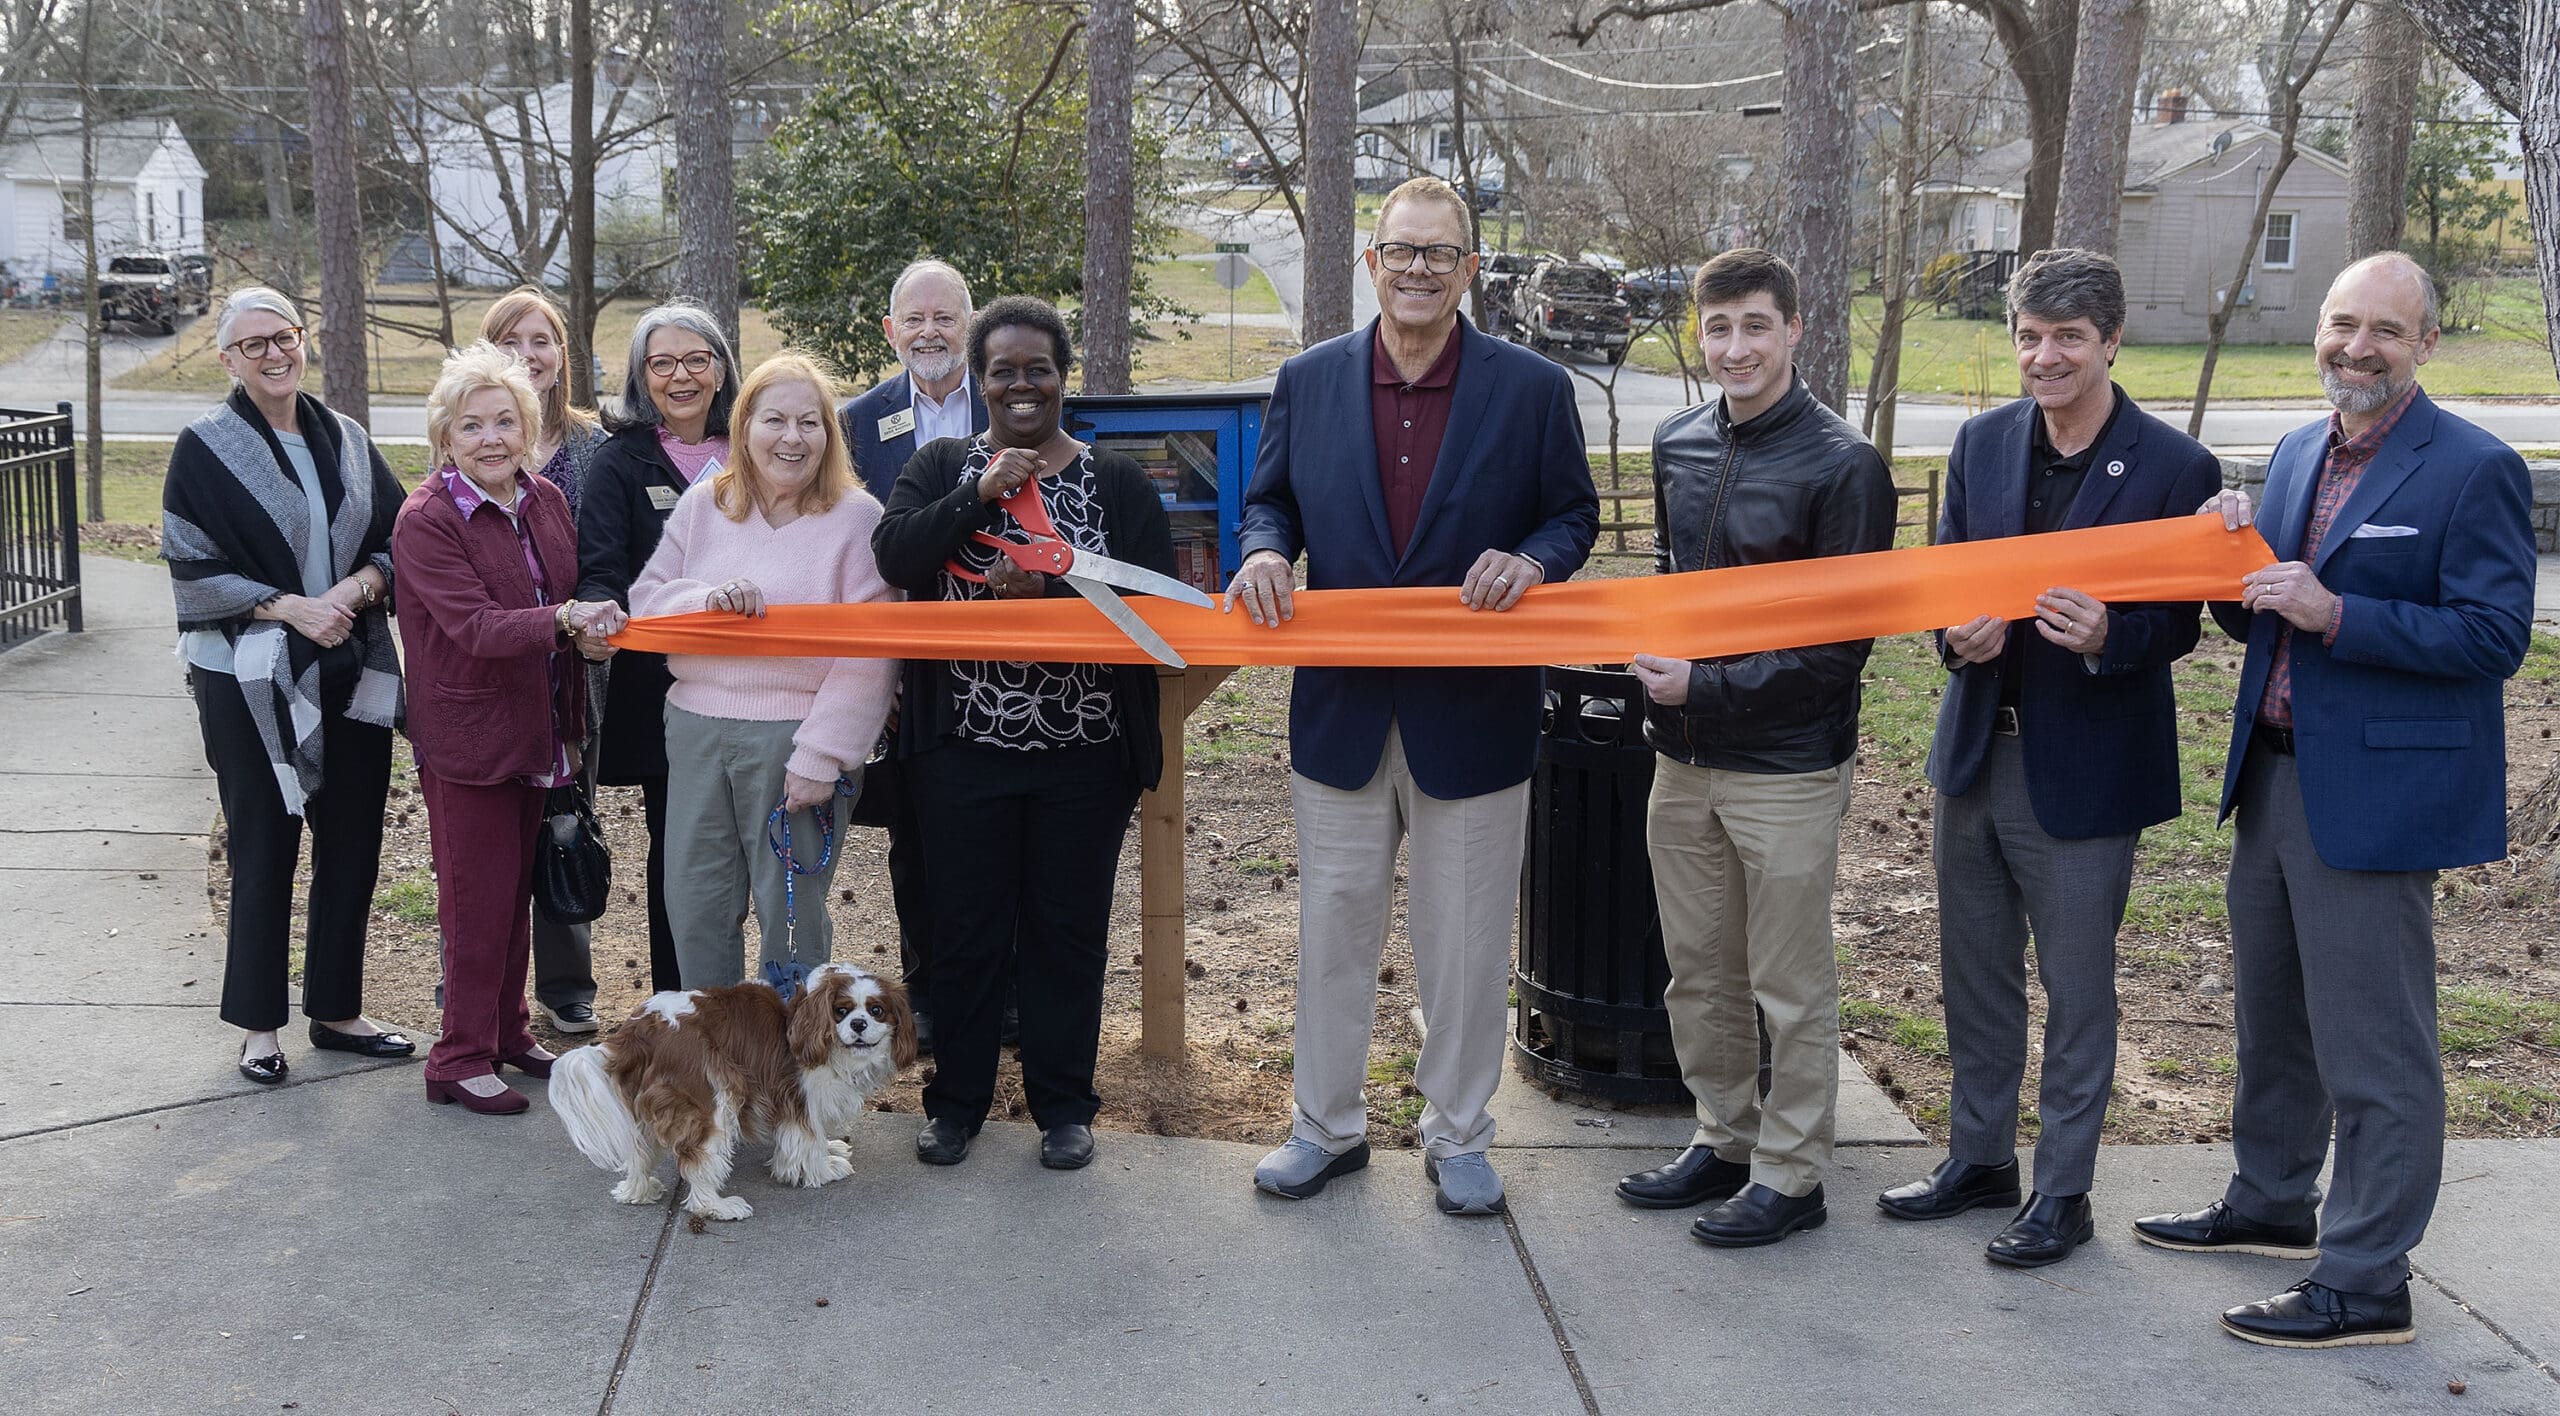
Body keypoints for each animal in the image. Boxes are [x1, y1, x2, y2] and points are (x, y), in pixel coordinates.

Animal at [550, 964, 916, 1220]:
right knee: (697, 1161)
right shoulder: (800, 1097)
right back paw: (717, 1206)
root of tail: (636, 1030)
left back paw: (638, 1190)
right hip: (713, 1098)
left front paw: (831, 1148)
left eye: (877, 1010)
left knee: (639, 1149)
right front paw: (823, 1170)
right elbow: (808, 1141)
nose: (858, 1024)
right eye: (841, 1011)